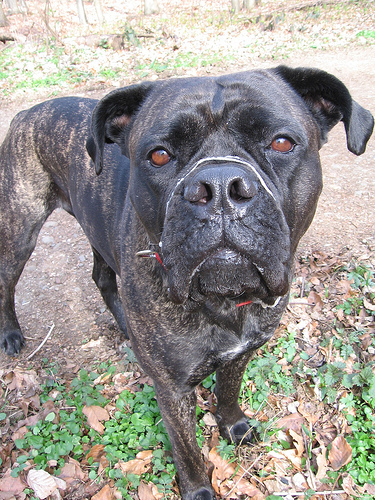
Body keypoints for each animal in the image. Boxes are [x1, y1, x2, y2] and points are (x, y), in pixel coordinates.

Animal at [0, 67, 374, 500]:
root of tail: (27, 112)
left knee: (102, 276)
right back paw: (10, 334)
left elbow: (228, 390)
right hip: (20, 230)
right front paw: (197, 488)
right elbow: (186, 448)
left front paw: (233, 424)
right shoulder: (173, 389)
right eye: (159, 154)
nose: (220, 186)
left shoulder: (243, 350)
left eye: (282, 142)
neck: (222, 301)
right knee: (7, 281)